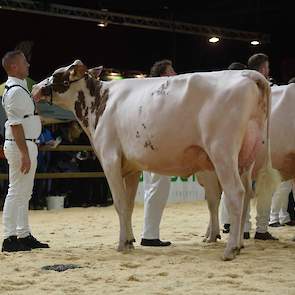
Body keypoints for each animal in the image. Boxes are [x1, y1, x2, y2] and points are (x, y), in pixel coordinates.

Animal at [33, 60, 280, 262]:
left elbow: (119, 203)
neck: (100, 104)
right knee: (245, 195)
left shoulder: (110, 158)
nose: (35, 89)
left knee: (235, 194)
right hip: (245, 157)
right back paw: (239, 243)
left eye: (56, 75)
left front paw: (121, 245)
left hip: (222, 151)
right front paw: (130, 241)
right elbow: (129, 206)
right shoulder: (131, 167)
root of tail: (248, 74)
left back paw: (230, 250)